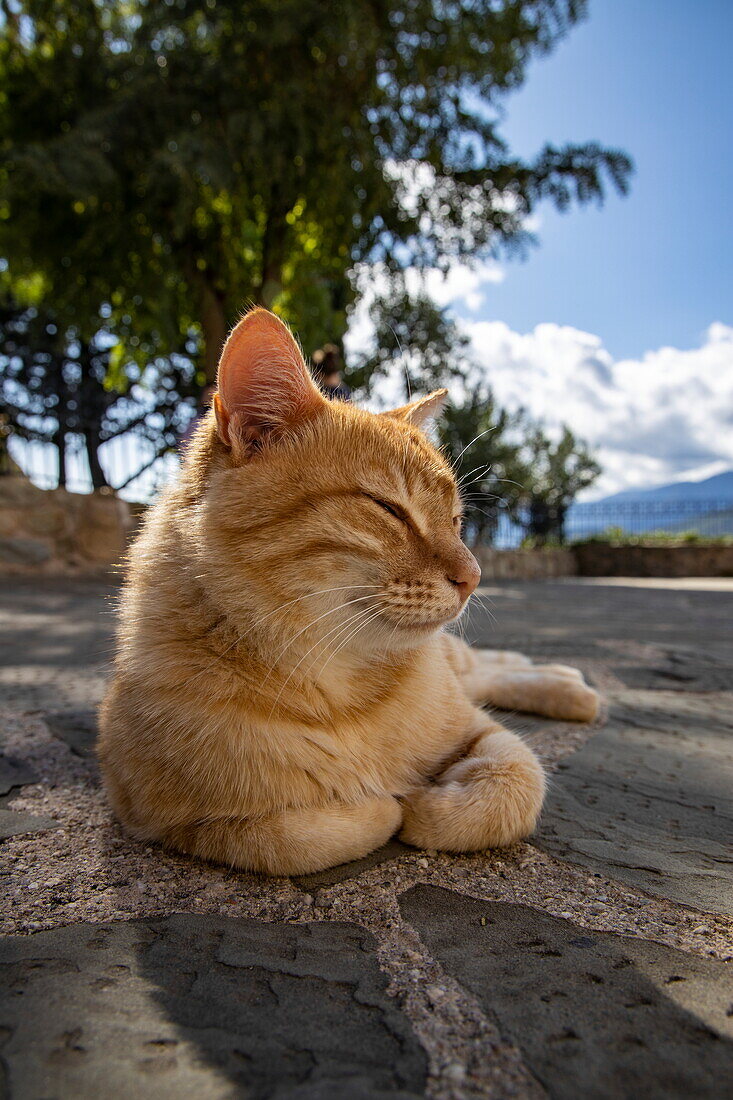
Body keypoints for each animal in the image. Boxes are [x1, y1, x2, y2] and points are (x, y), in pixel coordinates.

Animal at [96, 305, 598, 871]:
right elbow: (299, 837)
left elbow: (515, 783)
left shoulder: (481, 731)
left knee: (485, 666)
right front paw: (383, 802)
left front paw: (427, 806)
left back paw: (568, 683)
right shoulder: (153, 813)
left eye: (455, 520)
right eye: (390, 509)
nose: (474, 577)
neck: (338, 688)